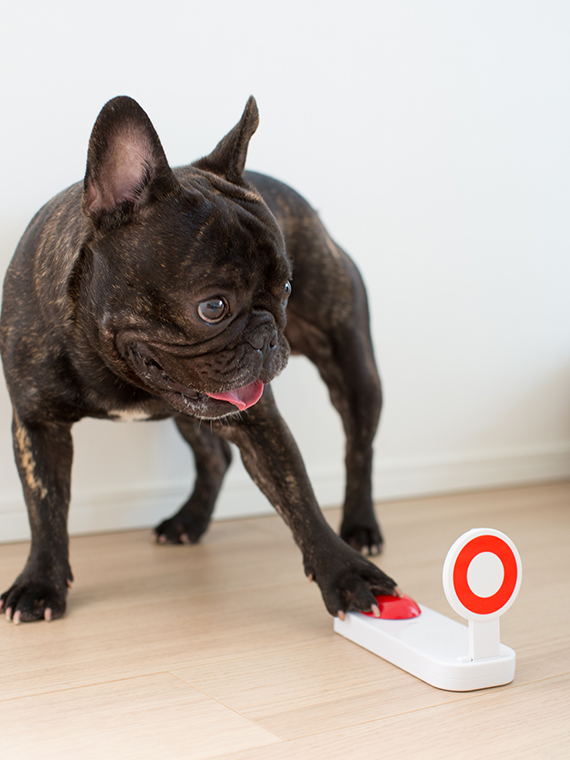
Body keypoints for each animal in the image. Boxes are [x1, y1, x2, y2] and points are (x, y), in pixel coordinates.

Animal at [0, 95, 392, 624]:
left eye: (287, 289)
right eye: (213, 307)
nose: (267, 336)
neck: (103, 357)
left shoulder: (259, 422)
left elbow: (299, 495)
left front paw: (345, 573)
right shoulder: (37, 424)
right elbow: (44, 507)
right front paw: (39, 583)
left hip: (354, 368)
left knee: (359, 446)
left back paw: (361, 527)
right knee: (214, 456)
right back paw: (190, 520)